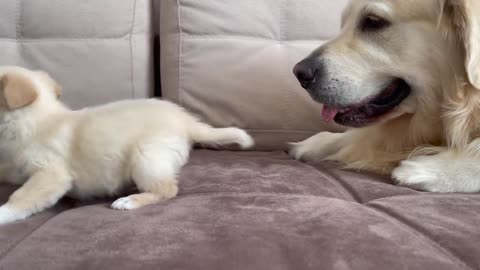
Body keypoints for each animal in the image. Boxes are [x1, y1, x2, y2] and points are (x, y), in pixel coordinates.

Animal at [0, 66, 255, 225]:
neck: (34, 119)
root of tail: (186, 121)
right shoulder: (18, 168)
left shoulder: (50, 174)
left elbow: (22, 197)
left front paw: (3, 213)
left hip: (146, 157)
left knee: (166, 190)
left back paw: (129, 201)